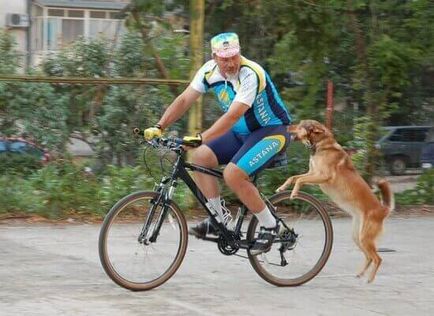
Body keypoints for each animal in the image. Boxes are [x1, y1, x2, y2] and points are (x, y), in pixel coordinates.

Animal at [278, 119, 394, 282]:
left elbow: (299, 180)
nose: (288, 126)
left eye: (300, 126)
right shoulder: (312, 173)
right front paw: (282, 188)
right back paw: (360, 274)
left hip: (365, 238)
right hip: (358, 237)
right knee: (369, 257)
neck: (321, 145)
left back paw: (370, 279)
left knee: (377, 258)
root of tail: (383, 210)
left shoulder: (322, 176)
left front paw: (294, 193)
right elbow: (293, 177)